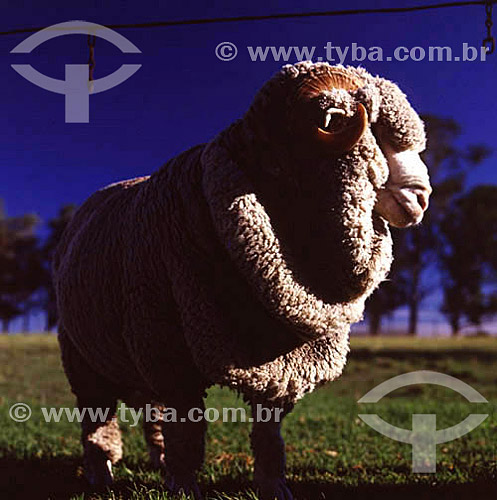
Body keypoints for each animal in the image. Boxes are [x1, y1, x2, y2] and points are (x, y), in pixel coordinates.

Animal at [53, 60, 430, 498]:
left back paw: (158, 463)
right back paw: (102, 473)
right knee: (98, 421)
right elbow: (189, 433)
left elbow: (268, 434)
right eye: (371, 131)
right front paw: (184, 487)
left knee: (153, 416)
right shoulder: (171, 355)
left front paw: (272, 485)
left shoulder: (281, 365)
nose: (421, 197)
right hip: (82, 354)